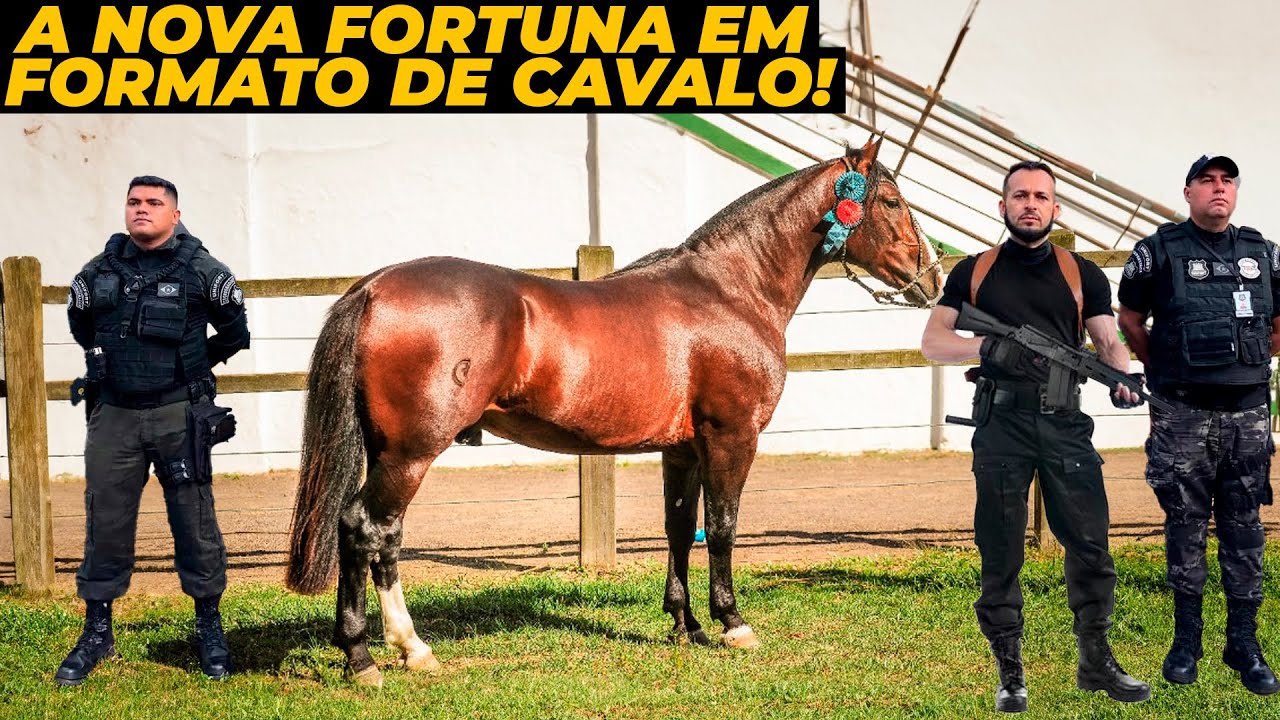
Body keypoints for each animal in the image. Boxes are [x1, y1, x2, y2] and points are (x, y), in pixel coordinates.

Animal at [285, 135, 943, 685]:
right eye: (890, 200)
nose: (931, 278)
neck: (730, 290)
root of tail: (374, 287)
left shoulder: (683, 448)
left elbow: (679, 529)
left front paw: (685, 626)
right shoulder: (732, 437)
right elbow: (723, 528)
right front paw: (733, 626)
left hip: (388, 451)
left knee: (371, 533)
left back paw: (384, 652)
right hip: (411, 452)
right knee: (368, 530)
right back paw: (382, 654)